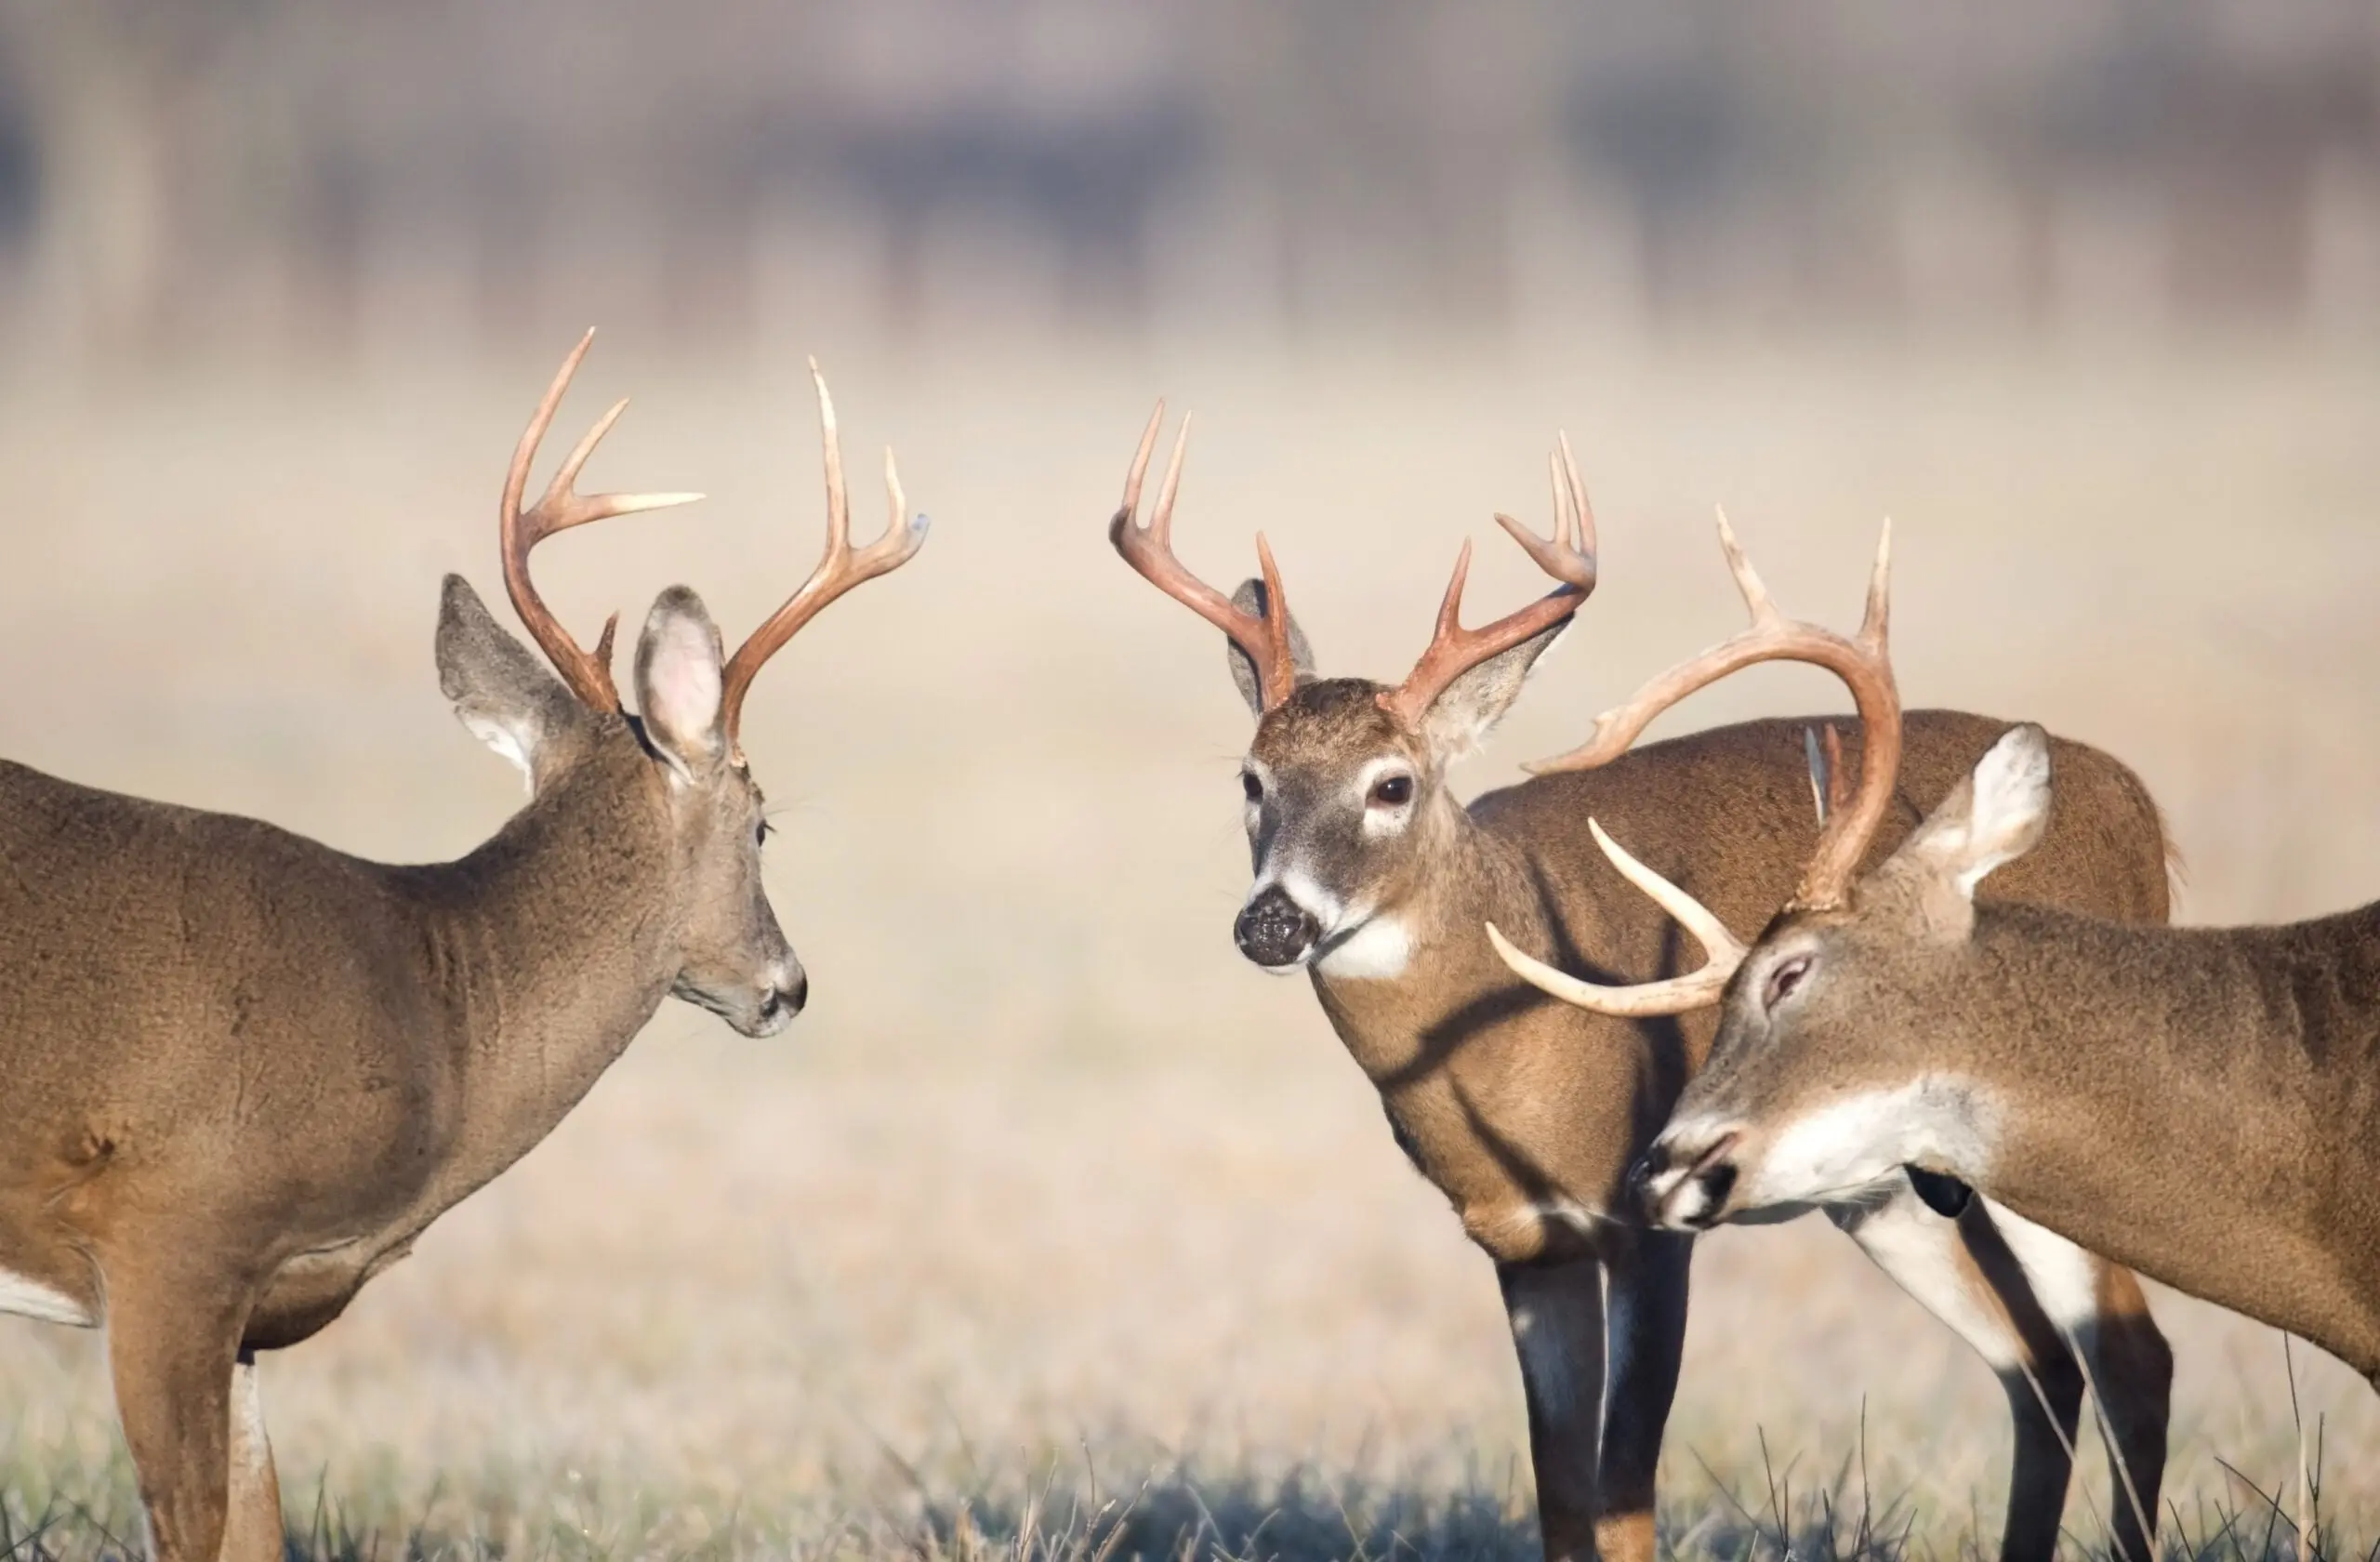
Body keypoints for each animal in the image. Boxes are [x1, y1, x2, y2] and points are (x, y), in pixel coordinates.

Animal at [0, 336, 923, 1562]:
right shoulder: (170, 1231)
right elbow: (193, 1529)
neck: (430, 1011)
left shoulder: (249, 1307)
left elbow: (259, 1527)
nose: (788, 985)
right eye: (762, 822)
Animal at [1104, 412, 2170, 1562]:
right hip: (1887, 1190)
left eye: (1391, 784)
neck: (1518, 1050)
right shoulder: (1525, 1244)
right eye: (1250, 781)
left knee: (2130, 1355)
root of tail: (2136, 804)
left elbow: (1622, 1492)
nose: (1273, 922)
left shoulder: (1651, 1217)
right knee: (2040, 1366)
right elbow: (1562, 1491)